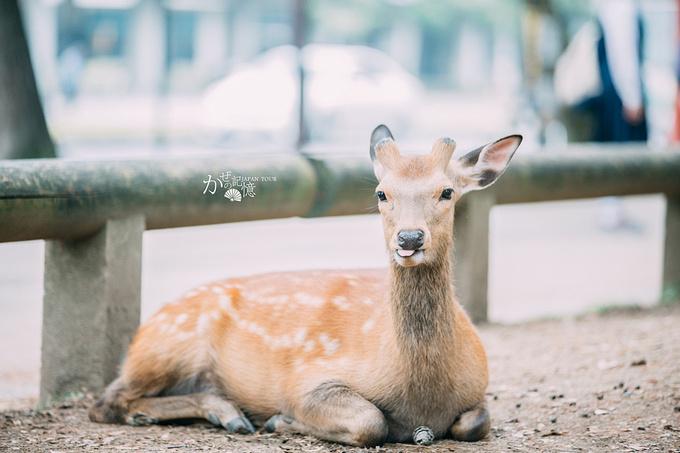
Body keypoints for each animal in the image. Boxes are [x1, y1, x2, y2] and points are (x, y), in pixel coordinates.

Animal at [86, 123, 520, 444]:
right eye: (381, 193)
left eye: (447, 191)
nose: (410, 238)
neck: (422, 393)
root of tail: (142, 333)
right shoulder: (307, 381)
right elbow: (371, 422)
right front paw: (281, 420)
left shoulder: (479, 389)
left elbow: (475, 423)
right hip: (168, 345)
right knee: (106, 401)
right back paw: (223, 415)